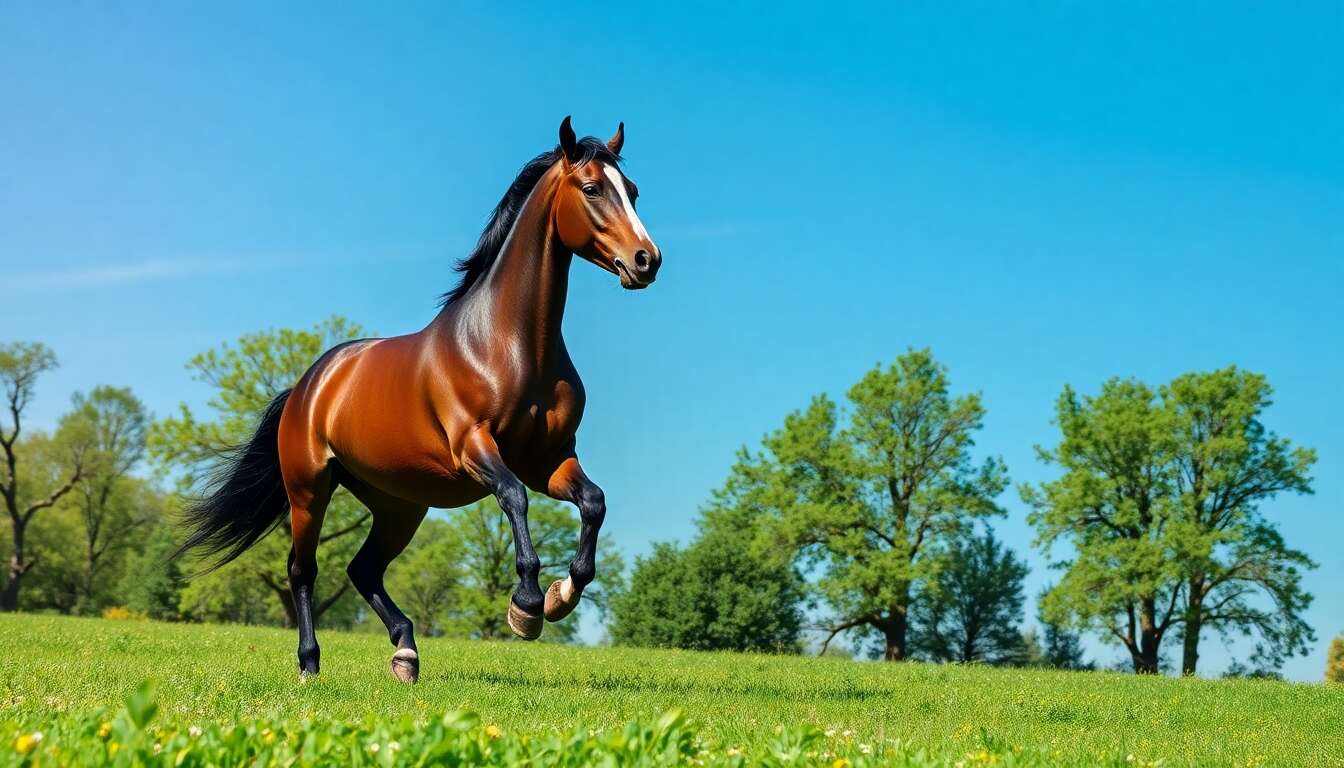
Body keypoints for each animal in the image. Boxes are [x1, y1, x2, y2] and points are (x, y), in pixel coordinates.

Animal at [178, 117, 661, 682]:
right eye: (591, 189)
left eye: (633, 191)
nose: (646, 260)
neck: (509, 345)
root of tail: (307, 385)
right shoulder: (475, 448)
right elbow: (515, 498)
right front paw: (525, 607)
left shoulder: (550, 459)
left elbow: (593, 502)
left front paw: (561, 595)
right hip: (309, 489)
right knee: (303, 569)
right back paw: (310, 664)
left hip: (399, 504)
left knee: (362, 569)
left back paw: (405, 652)